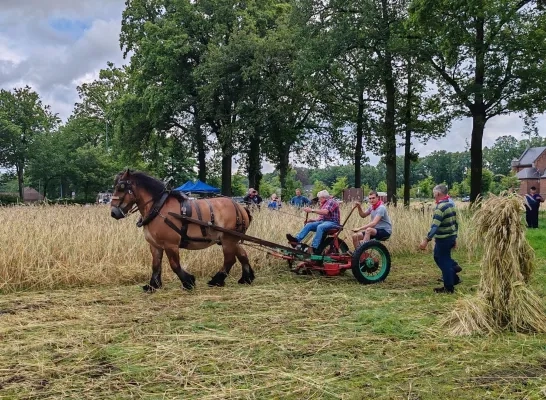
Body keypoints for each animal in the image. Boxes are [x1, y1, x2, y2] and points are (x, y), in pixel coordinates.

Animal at [111, 169, 258, 290]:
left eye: (121, 187)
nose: (113, 213)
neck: (158, 207)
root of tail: (241, 207)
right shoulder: (155, 245)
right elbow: (156, 265)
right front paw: (153, 285)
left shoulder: (171, 244)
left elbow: (174, 265)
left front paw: (188, 282)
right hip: (231, 239)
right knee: (242, 254)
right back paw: (246, 278)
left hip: (228, 239)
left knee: (229, 259)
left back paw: (217, 280)